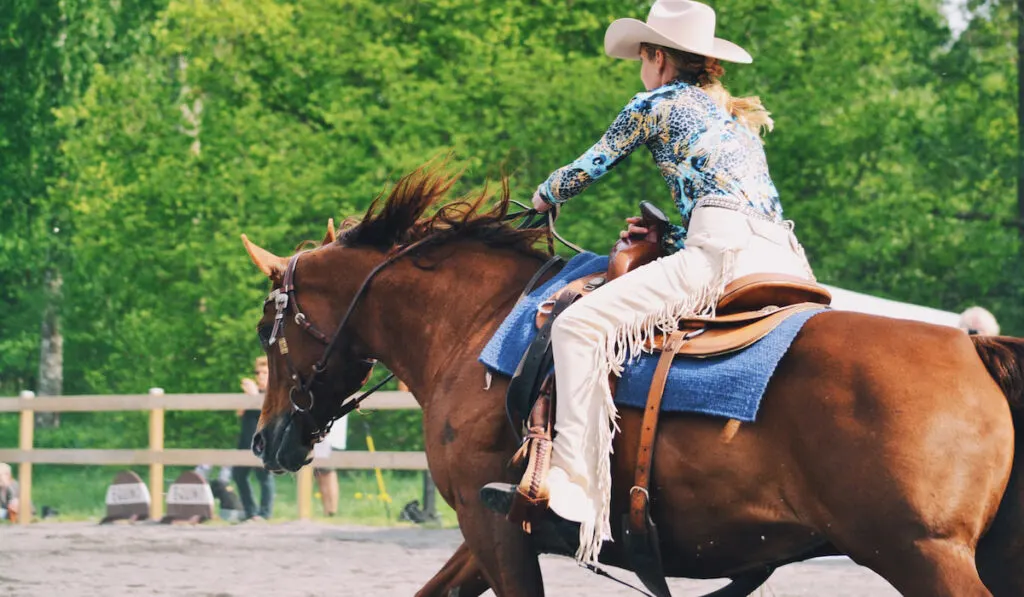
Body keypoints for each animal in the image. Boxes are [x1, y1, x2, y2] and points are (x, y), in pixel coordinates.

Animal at [241, 164, 1024, 597]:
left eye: (264, 329)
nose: (266, 439)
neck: (481, 326)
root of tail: (976, 348)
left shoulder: (490, 527)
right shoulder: (489, 525)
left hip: (924, 556)